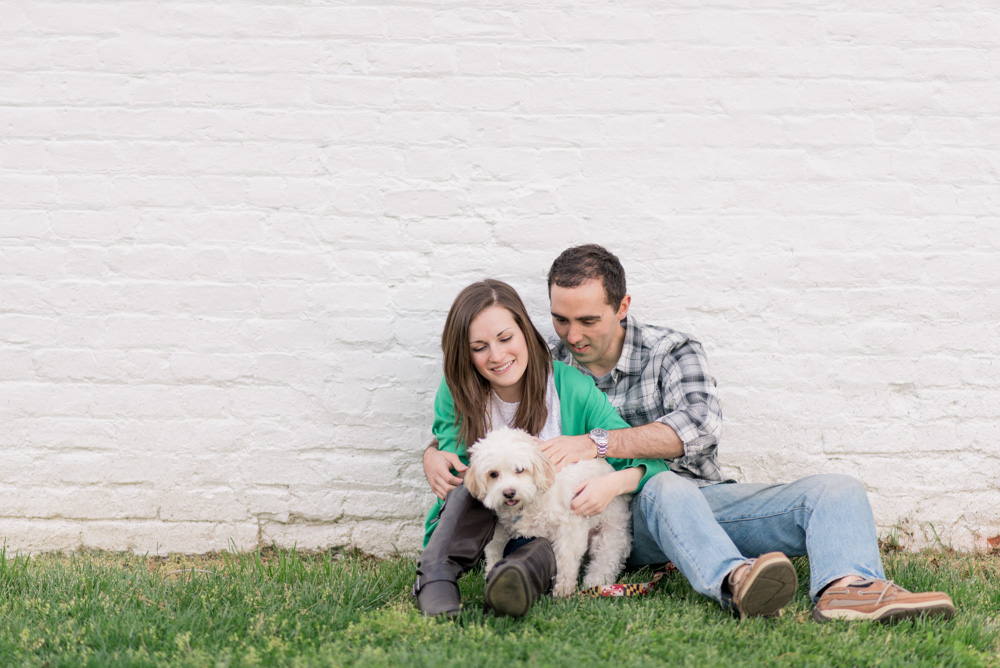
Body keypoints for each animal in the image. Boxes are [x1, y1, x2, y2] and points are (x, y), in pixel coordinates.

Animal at [462, 428, 632, 600]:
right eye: (493, 474)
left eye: (519, 470)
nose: (509, 493)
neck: (530, 500)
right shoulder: (501, 529)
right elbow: (494, 551)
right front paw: (492, 574)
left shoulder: (570, 529)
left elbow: (566, 560)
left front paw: (562, 590)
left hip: (610, 534)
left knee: (605, 561)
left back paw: (594, 584)